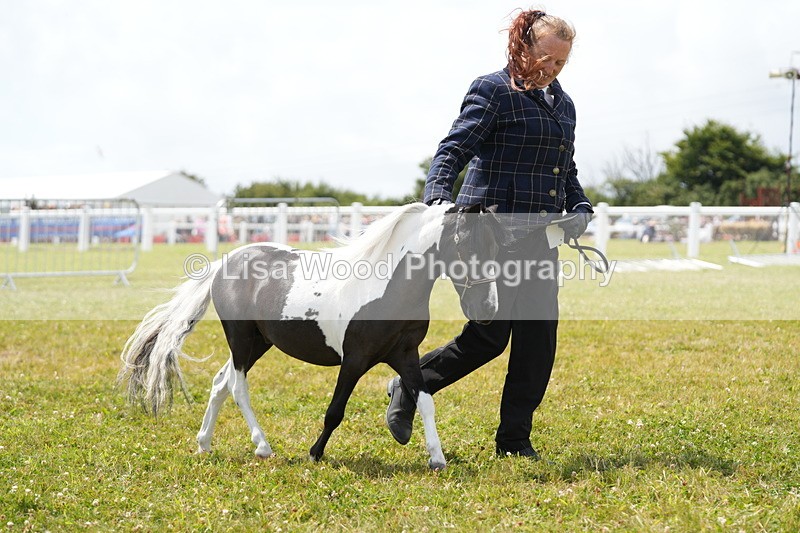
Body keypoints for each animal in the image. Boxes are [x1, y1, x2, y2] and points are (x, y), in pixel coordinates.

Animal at [117, 202, 512, 470]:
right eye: (467, 245)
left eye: (497, 248)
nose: (487, 309)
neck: (387, 286)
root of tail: (226, 262)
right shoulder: (355, 359)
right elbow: (335, 411)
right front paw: (315, 453)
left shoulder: (405, 353)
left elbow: (426, 399)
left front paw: (437, 457)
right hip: (241, 340)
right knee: (237, 387)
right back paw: (262, 447)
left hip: (259, 342)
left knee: (219, 382)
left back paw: (204, 444)